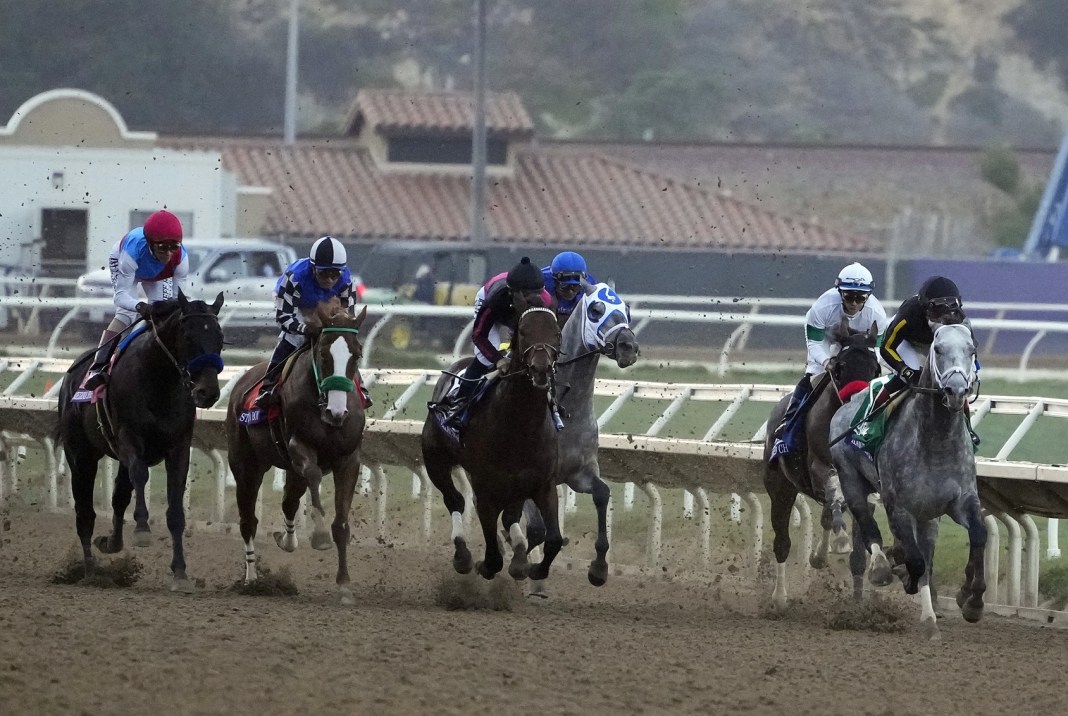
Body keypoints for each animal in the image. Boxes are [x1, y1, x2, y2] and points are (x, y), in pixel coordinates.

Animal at [56, 290, 225, 594]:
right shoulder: (129, 438)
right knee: (85, 514)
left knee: (119, 498)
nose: (208, 393)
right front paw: (143, 529)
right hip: (81, 455)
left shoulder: (178, 447)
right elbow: (141, 475)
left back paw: (111, 543)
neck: (159, 381)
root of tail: (71, 375)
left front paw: (180, 573)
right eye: (188, 337)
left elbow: (175, 511)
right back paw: (91, 572)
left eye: (219, 337)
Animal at [224, 301, 367, 606]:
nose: (337, 413)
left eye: (357, 353)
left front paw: (344, 586)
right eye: (324, 353)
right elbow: (313, 475)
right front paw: (320, 534)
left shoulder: (348, 460)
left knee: (289, 501)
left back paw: (287, 540)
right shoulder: (298, 446)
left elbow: (341, 525)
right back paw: (252, 579)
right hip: (246, 466)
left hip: (289, 470)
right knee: (248, 521)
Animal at [420, 307, 563, 581]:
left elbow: (554, 540)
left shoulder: (542, 484)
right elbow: (494, 556)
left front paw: (534, 568)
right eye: (523, 332)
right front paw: (484, 565)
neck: (521, 426)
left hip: (516, 486)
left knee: (509, 516)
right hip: (435, 459)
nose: (540, 369)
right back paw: (463, 555)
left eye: (557, 333)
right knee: (455, 500)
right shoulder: (484, 487)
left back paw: (518, 556)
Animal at [521, 282, 636, 589]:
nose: (629, 346)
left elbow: (602, 494)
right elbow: (535, 530)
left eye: (627, 309)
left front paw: (598, 568)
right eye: (596, 309)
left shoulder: (579, 473)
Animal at [828, 322, 986, 641]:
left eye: (972, 350)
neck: (936, 441)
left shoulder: (961, 501)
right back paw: (881, 568)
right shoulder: (898, 506)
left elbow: (978, 536)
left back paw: (929, 619)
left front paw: (972, 600)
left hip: (927, 516)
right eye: (938, 348)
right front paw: (902, 573)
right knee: (868, 525)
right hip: (851, 479)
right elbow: (915, 561)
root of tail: (849, 401)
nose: (956, 391)